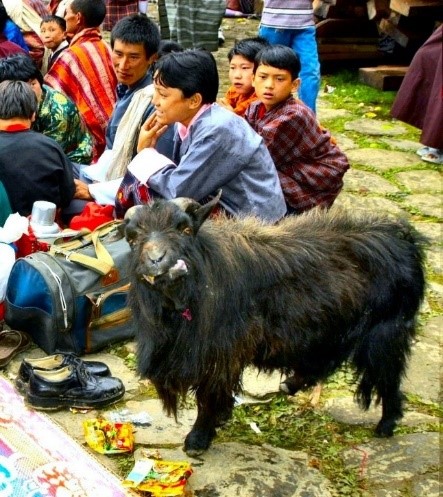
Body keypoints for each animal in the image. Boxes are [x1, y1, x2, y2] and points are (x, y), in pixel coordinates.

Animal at [122, 192, 426, 456]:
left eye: (185, 228)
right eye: (133, 237)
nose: (157, 262)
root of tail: (405, 239)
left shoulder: (221, 357)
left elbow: (207, 398)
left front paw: (198, 439)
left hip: (385, 333)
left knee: (388, 378)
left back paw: (386, 425)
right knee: (326, 361)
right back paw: (291, 384)